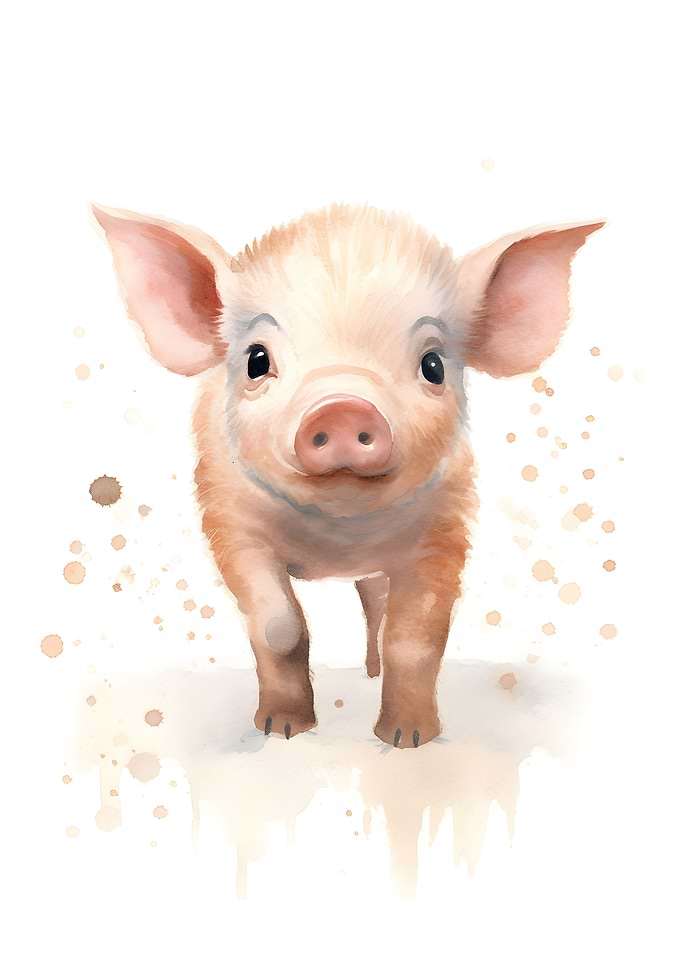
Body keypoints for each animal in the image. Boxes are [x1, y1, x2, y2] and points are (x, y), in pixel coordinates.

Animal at [92, 203, 603, 748]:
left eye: (434, 365)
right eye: (257, 360)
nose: (341, 408)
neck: (338, 538)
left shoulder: (444, 532)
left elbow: (415, 636)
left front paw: (408, 739)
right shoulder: (229, 522)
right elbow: (278, 626)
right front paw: (281, 730)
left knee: (376, 607)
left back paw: (372, 675)